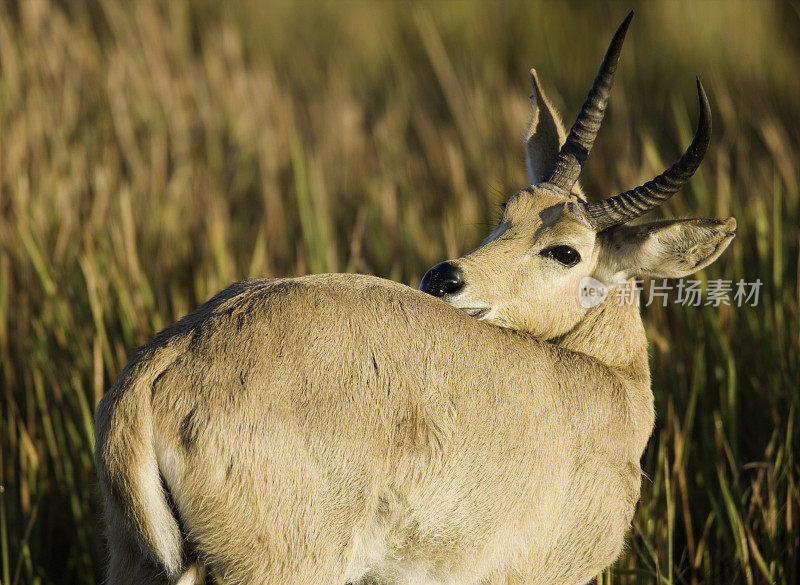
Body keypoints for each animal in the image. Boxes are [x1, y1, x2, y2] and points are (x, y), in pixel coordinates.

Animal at [95, 12, 736, 584]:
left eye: (565, 251)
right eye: (507, 211)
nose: (444, 278)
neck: (607, 377)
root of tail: (171, 357)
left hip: (140, 563)